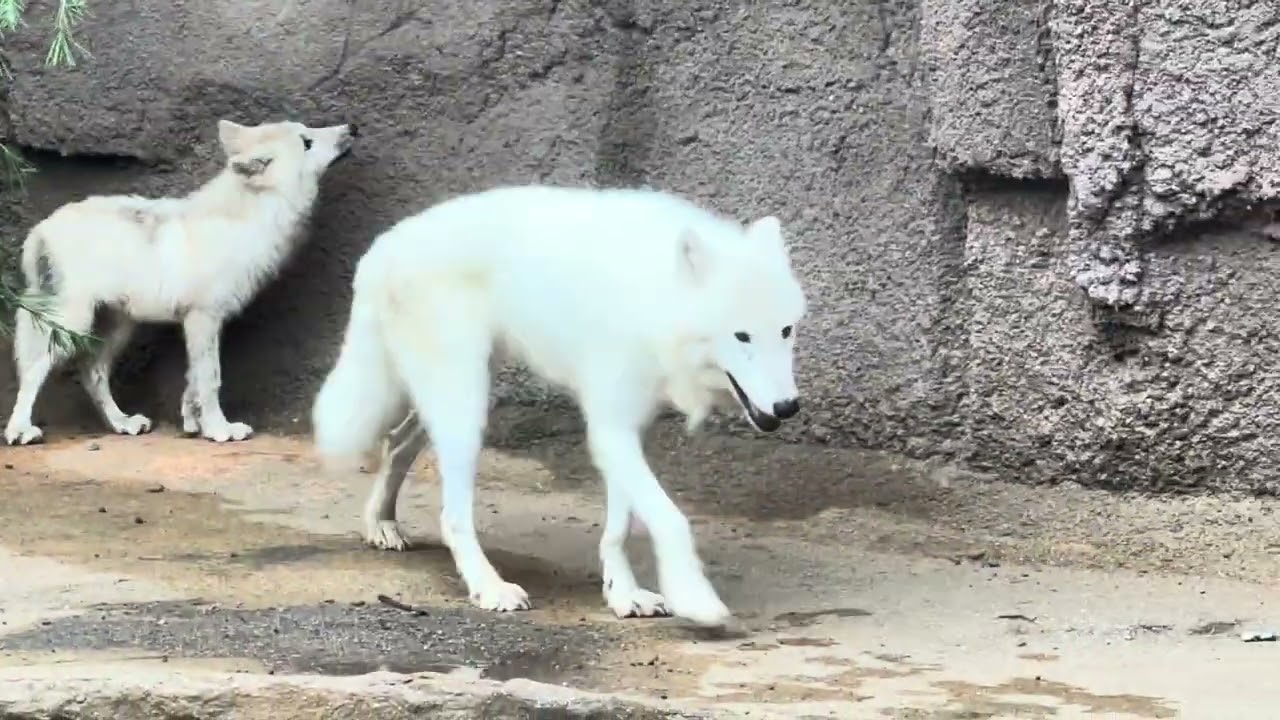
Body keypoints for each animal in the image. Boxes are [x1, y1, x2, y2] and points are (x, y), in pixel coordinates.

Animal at [4, 118, 358, 446]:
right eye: (306, 142)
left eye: (307, 130)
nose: (352, 128)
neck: (248, 218)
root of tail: (39, 230)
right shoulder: (203, 317)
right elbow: (211, 379)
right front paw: (219, 430)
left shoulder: (202, 323)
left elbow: (194, 382)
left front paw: (194, 423)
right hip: (71, 324)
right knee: (33, 370)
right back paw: (19, 430)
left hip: (117, 329)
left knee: (92, 373)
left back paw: (122, 423)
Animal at [311, 184, 807, 627]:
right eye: (741, 336)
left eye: (785, 331)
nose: (787, 408)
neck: (656, 299)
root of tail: (382, 248)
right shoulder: (610, 427)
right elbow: (671, 519)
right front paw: (694, 597)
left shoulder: (627, 426)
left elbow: (619, 527)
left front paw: (624, 595)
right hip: (466, 407)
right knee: (451, 515)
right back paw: (489, 588)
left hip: (455, 396)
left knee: (396, 442)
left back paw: (380, 524)